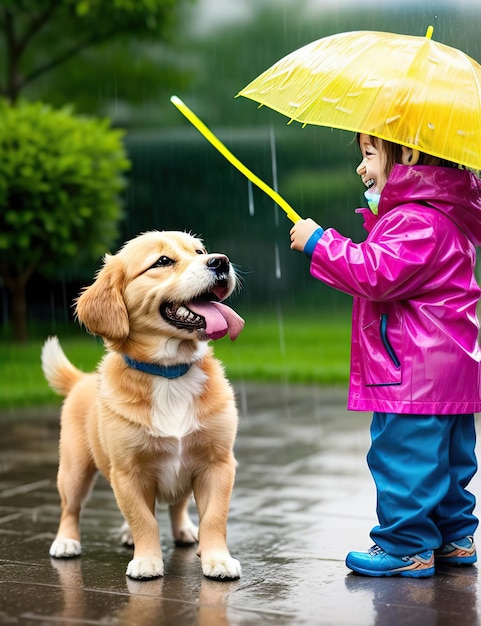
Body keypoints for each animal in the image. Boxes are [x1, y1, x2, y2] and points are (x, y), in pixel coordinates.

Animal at [41, 230, 244, 580]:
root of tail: (81, 379)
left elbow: (215, 518)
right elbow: (143, 520)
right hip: (74, 468)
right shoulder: (128, 473)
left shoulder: (218, 464)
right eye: (162, 261)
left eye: (199, 251)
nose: (221, 261)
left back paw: (185, 531)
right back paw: (67, 541)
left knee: (177, 505)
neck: (170, 373)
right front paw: (147, 561)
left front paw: (217, 558)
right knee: (71, 507)